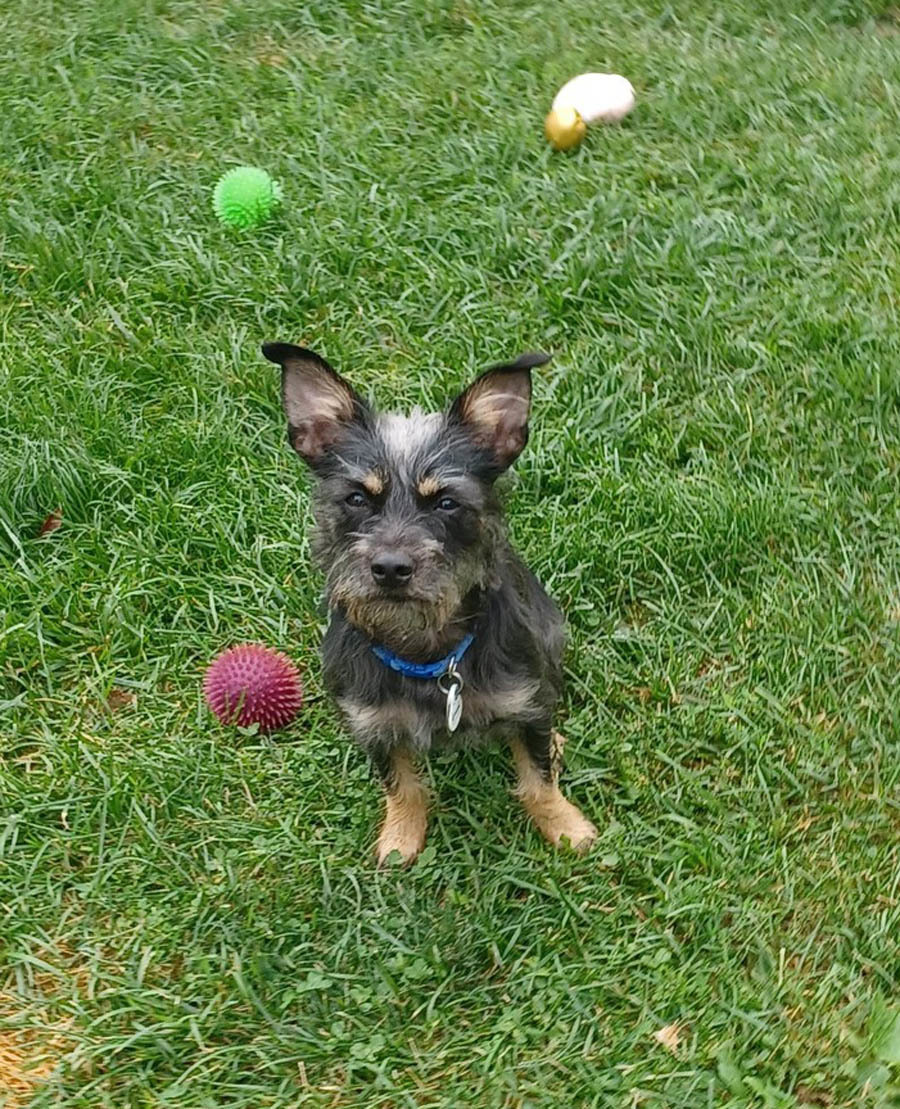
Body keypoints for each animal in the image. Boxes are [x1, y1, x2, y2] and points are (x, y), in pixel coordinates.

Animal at [260, 341, 598, 860]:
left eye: (445, 502)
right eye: (357, 498)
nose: (391, 568)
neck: (423, 649)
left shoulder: (524, 701)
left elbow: (538, 778)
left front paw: (566, 826)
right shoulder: (373, 725)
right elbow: (401, 785)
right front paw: (401, 836)